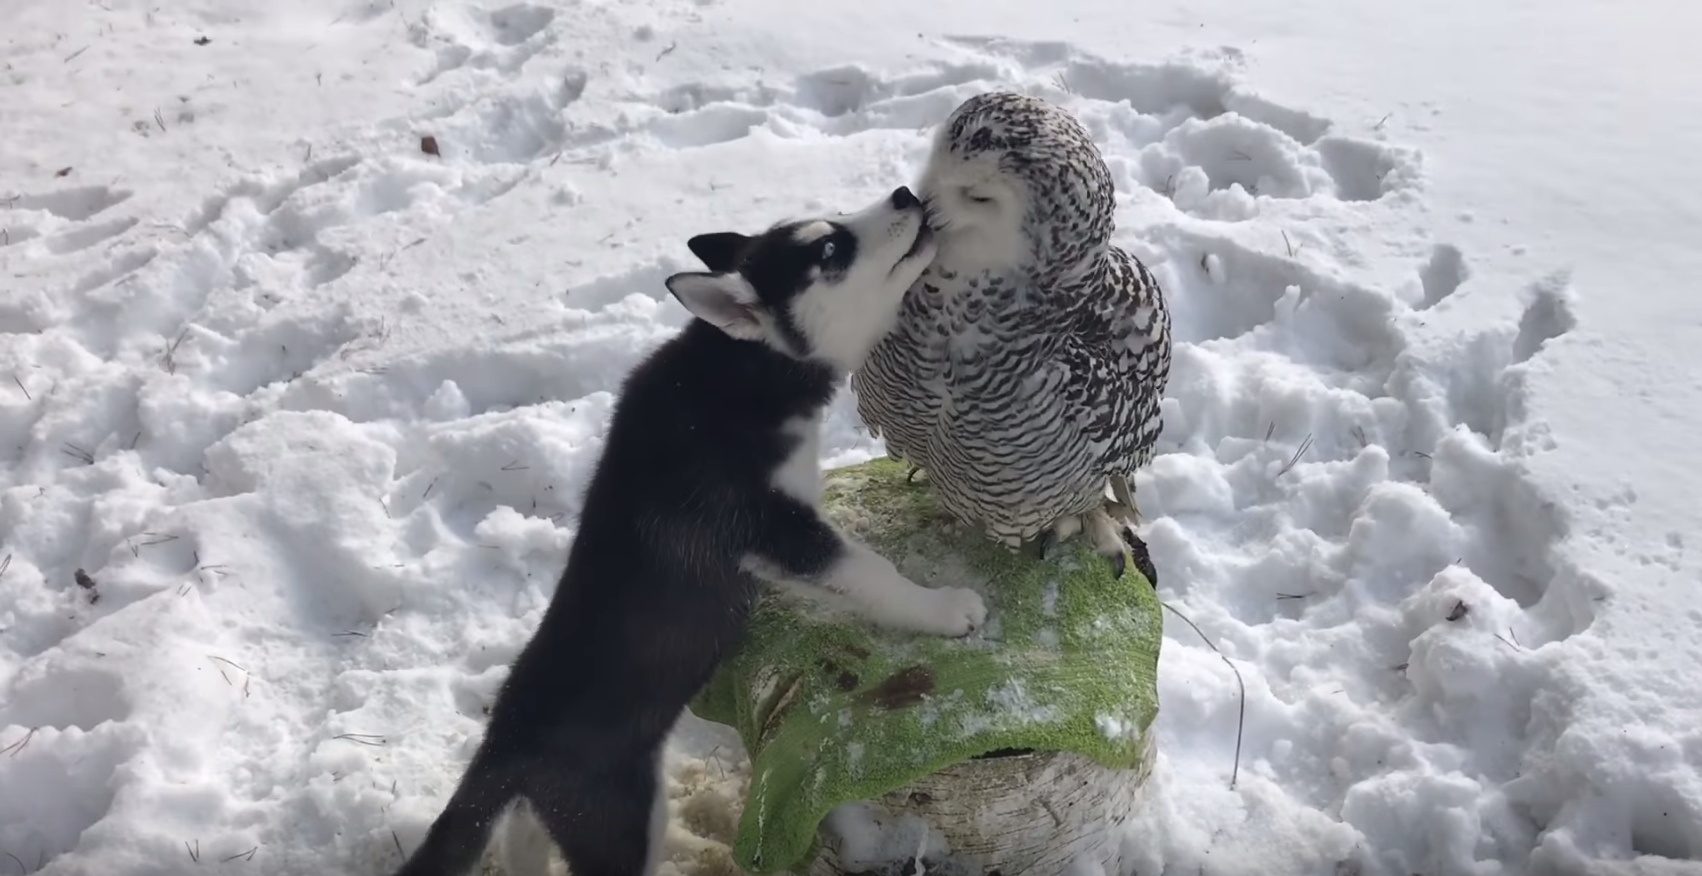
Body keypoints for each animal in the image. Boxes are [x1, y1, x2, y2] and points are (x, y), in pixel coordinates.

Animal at [389, 188, 987, 876]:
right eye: (831, 251)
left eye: (834, 221)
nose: (906, 195)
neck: (740, 372)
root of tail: (503, 739)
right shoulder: (768, 523)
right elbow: (869, 572)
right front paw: (945, 609)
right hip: (617, 819)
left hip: (553, 817)